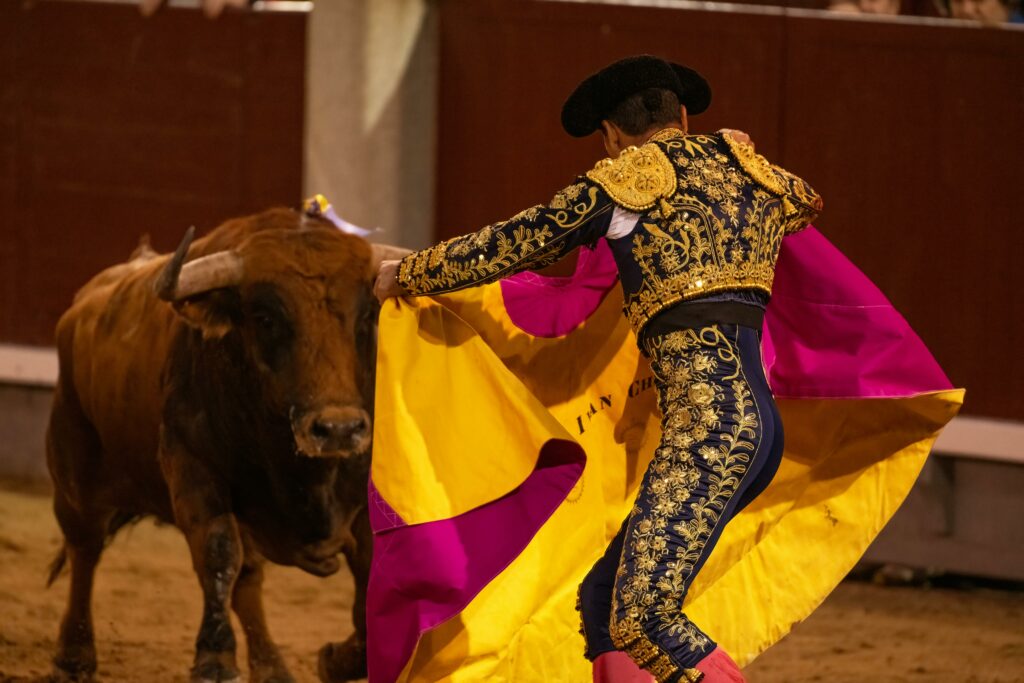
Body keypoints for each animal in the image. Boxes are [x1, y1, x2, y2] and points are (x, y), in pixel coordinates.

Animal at [47, 208, 399, 683]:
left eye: (364, 318)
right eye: (265, 318)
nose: (339, 428)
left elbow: (369, 587)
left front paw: (334, 659)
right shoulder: (194, 469)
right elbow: (217, 553)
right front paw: (214, 658)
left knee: (248, 581)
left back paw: (272, 667)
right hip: (73, 477)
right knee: (85, 550)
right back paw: (74, 654)